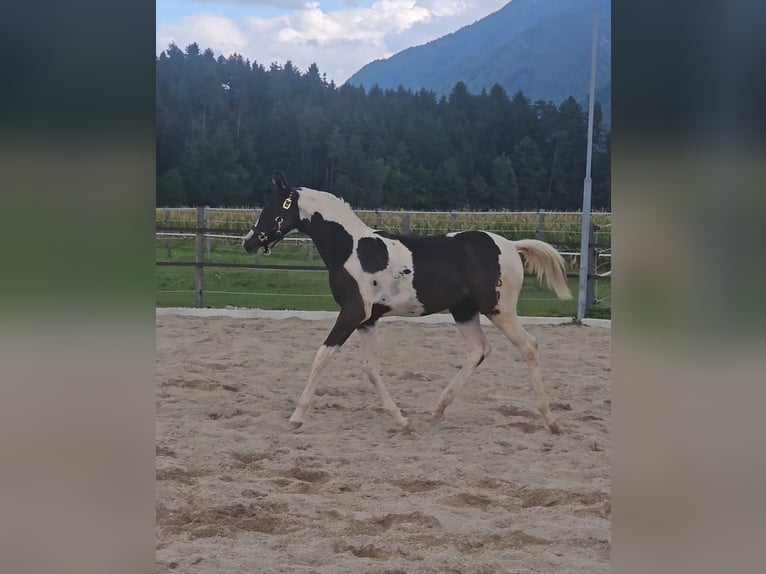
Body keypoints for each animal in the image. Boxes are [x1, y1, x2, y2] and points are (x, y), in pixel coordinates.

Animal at [243, 172, 572, 434]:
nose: (248, 242)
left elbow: (322, 357)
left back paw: (552, 421)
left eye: (271, 209)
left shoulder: (351, 313)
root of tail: (511, 246)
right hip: (464, 311)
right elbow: (370, 368)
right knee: (478, 350)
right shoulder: (367, 320)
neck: (352, 250)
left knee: (529, 346)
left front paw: (296, 417)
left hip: (499, 310)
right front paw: (401, 420)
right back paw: (436, 412)